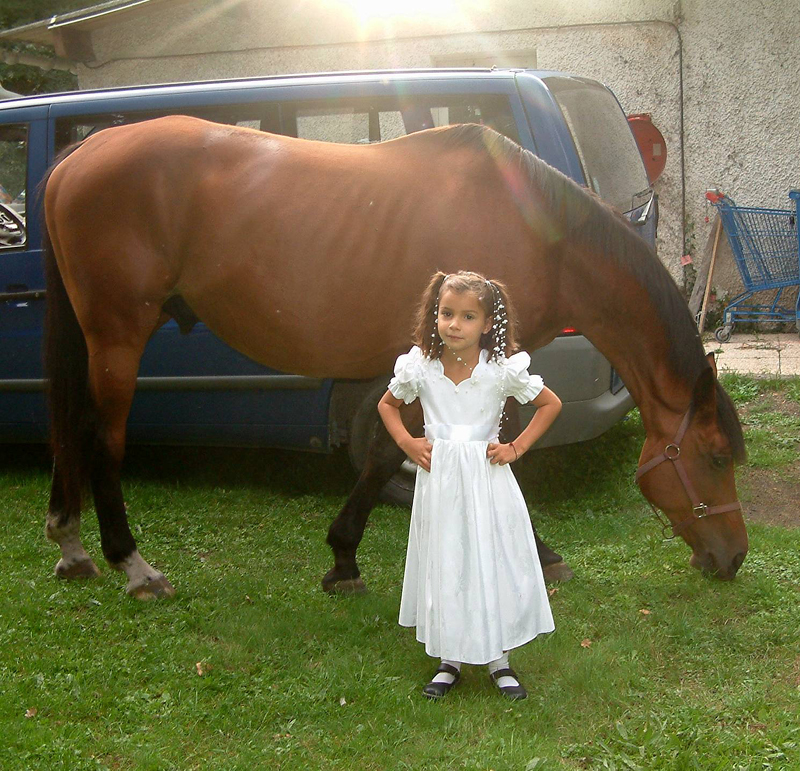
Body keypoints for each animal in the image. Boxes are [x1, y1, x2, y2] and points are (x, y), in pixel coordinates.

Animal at [41, 116, 747, 600]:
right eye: (715, 457)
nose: (733, 557)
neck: (544, 239)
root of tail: (82, 153)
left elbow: (408, 448)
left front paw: (343, 557)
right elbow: (436, 450)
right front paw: (346, 557)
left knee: (69, 428)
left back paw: (71, 547)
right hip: (119, 336)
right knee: (101, 436)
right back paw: (132, 565)